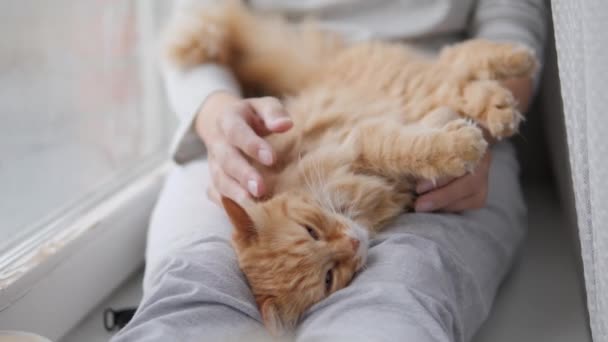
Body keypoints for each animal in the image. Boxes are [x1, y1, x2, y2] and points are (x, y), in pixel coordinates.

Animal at [163, 1, 536, 336]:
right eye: (329, 277)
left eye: (310, 231)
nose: (353, 243)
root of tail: (316, 72)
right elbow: (427, 135)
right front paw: (457, 135)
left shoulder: (362, 141)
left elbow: (413, 147)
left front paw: (462, 144)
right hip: (416, 86)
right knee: (455, 67)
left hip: (407, 81)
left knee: (458, 68)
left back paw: (514, 75)